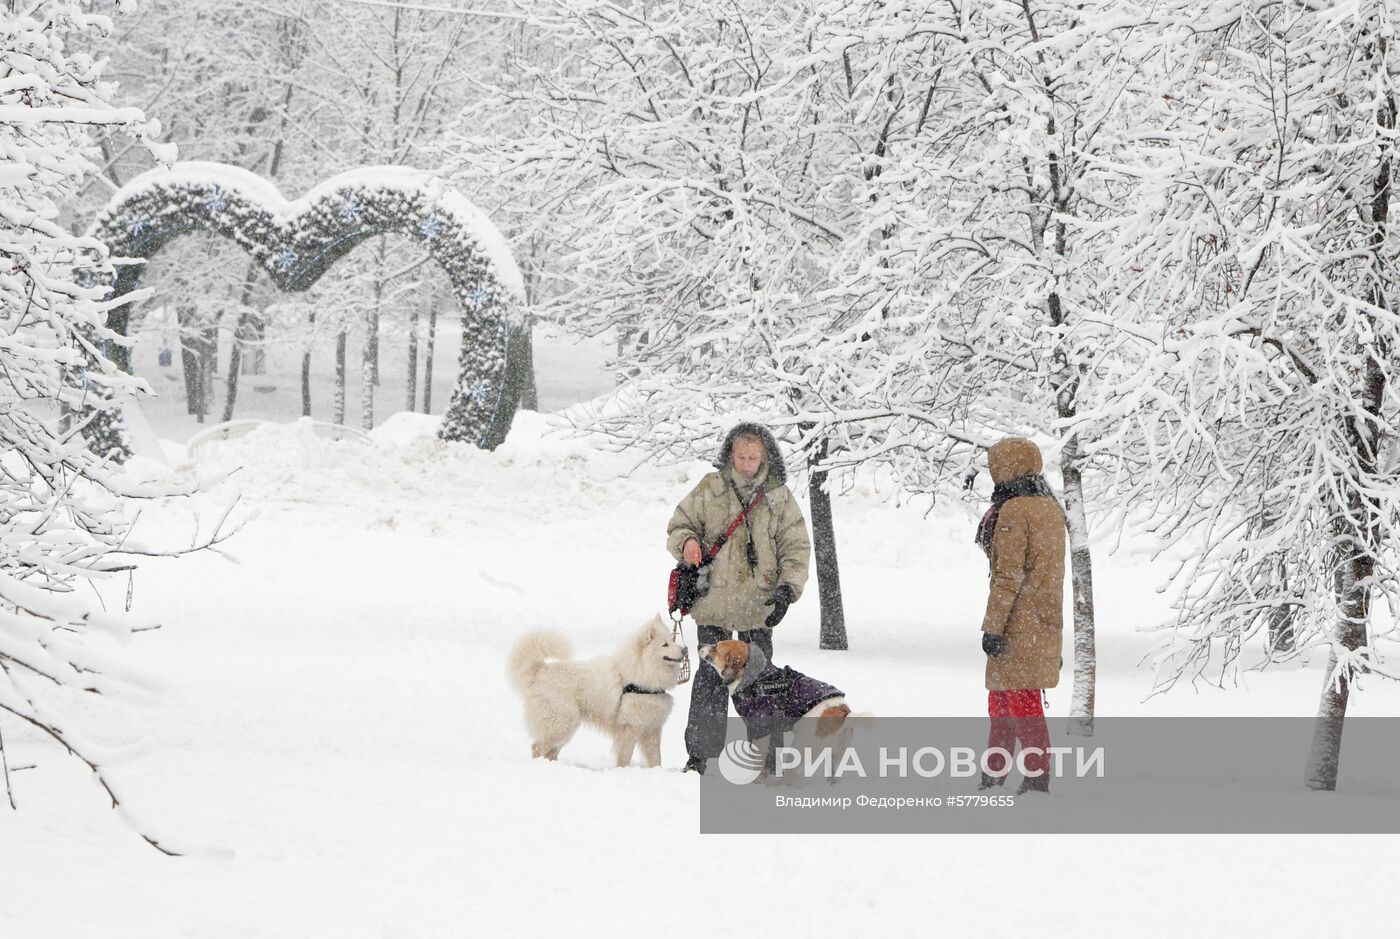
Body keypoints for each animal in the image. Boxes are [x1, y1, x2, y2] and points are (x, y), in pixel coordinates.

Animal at [512, 615, 691, 772]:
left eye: (672, 640)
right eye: (665, 645)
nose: (684, 650)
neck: (642, 675)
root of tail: (540, 670)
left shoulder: (653, 729)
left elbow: (656, 758)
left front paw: (657, 772)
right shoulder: (629, 728)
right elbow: (625, 756)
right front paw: (623, 771)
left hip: (565, 726)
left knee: (551, 751)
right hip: (562, 723)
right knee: (537, 747)